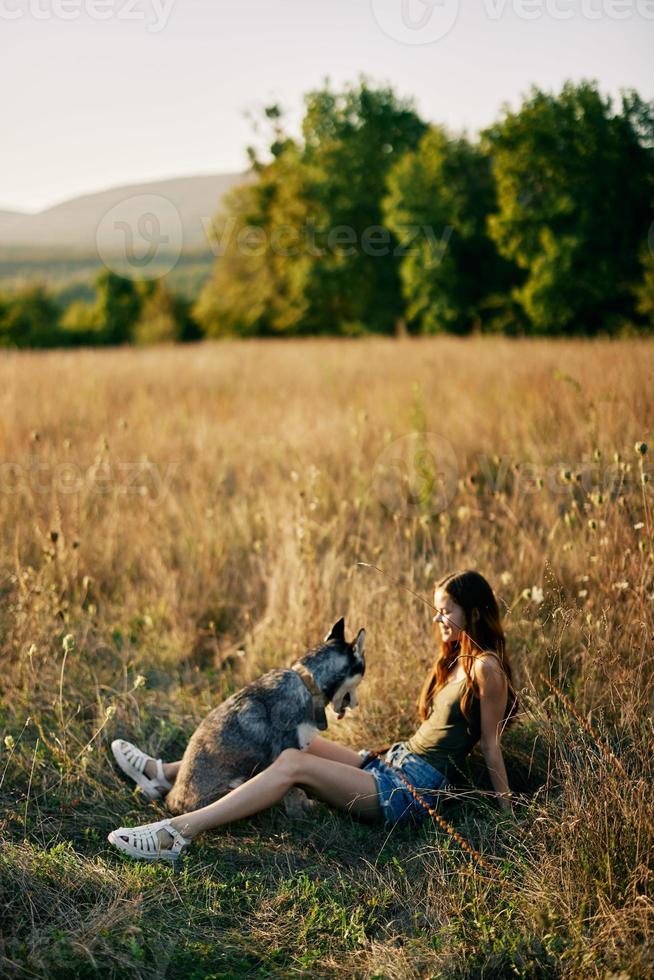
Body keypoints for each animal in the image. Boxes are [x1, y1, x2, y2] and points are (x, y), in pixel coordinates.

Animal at [167, 616, 366, 816]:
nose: (357, 704)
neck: (308, 685)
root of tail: (174, 803)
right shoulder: (288, 750)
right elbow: (295, 792)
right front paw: (300, 815)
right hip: (237, 783)